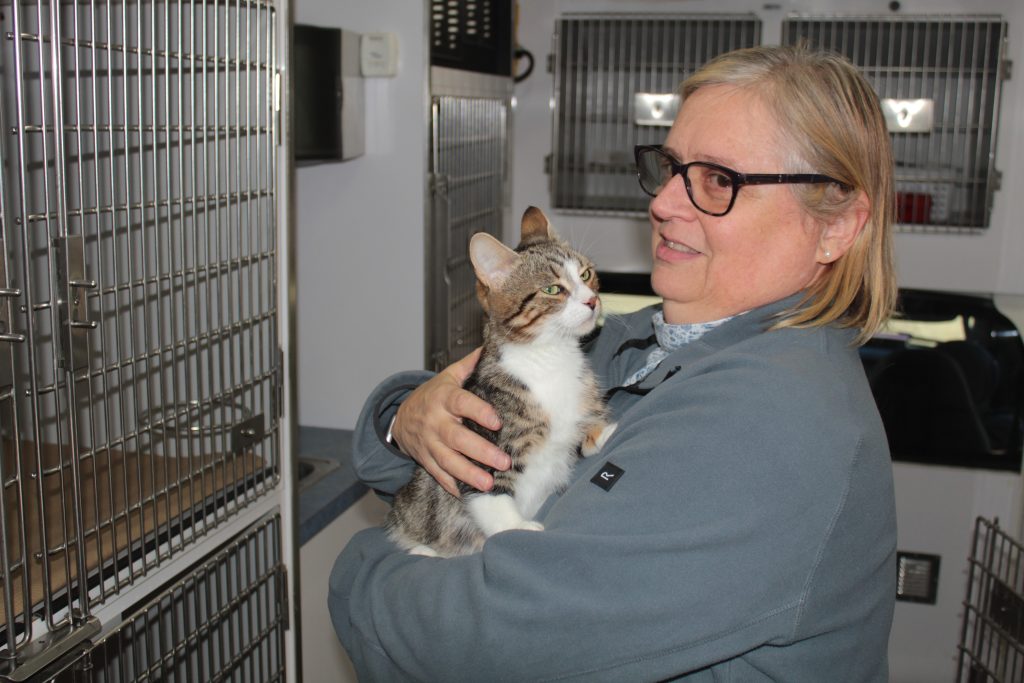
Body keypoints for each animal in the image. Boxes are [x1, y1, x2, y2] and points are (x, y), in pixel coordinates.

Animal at [385, 206, 615, 557]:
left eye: (587, 274)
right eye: (553, 289)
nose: (592, 301)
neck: (549, 357)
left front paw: (602, 432)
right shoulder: (482, 449)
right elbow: (490, 496)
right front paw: (518, 528)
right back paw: (424, 550)